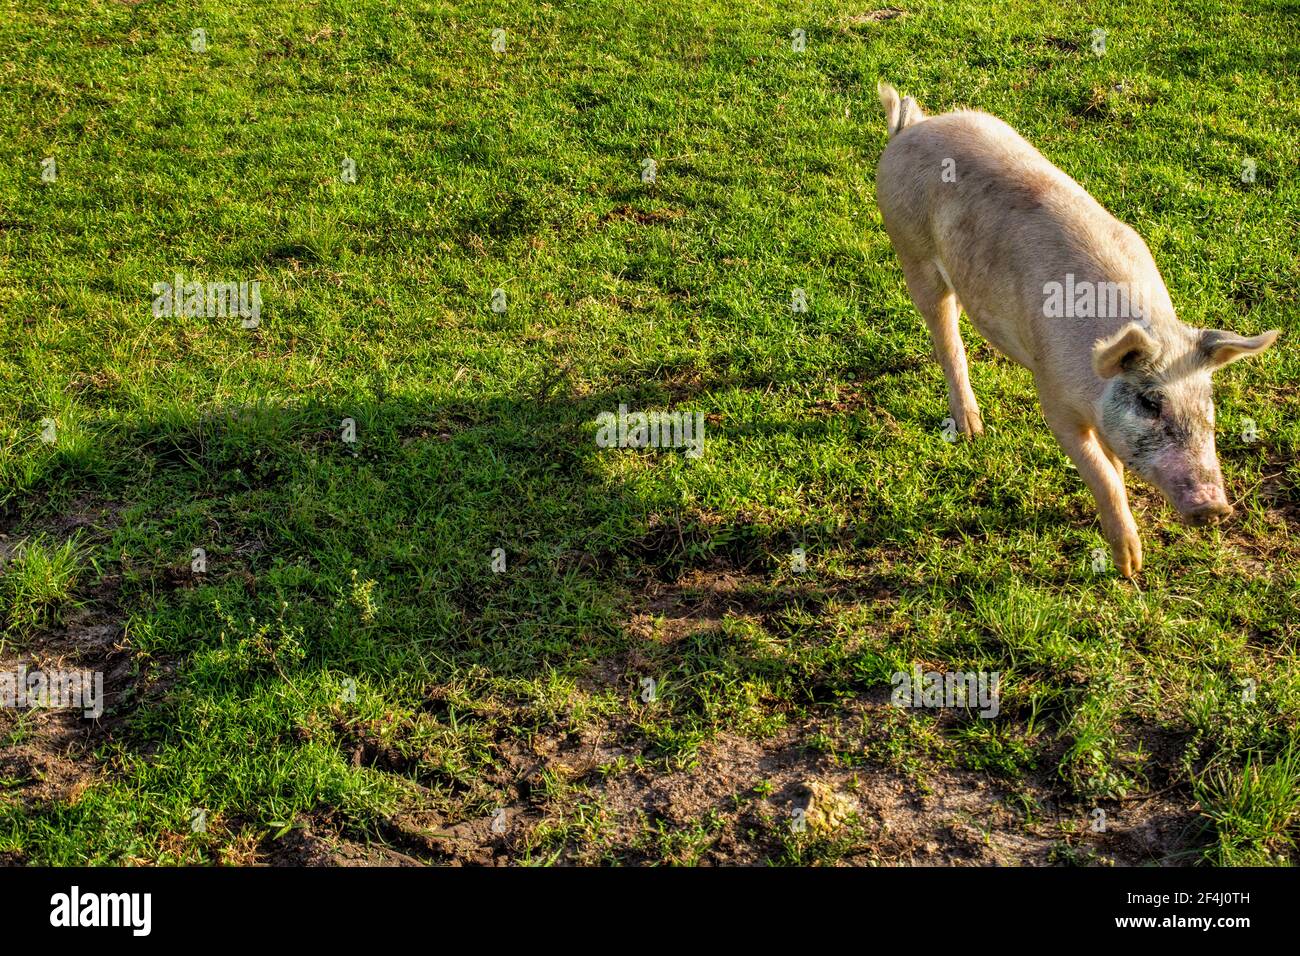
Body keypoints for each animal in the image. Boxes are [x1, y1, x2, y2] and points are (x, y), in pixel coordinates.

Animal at [873, 82, 1279, 574]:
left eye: (1208, 405)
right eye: (1150, 403)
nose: (1215, 507)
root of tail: (911, 128)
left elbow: (1114, 465)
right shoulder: (1053, 394)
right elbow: (1098, 471)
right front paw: (1130, 567)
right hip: (912, 250)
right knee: (944, 333)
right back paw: (973, 431)